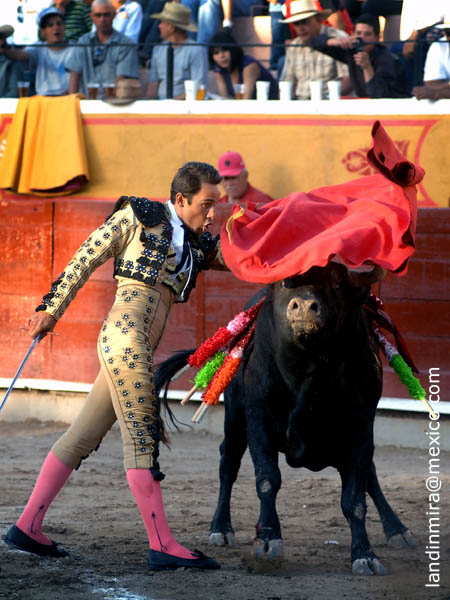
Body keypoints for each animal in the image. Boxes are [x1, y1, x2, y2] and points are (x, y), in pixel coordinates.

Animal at [155, 262, 415, 575]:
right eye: (283, 284)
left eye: (337, 285)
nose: (303, 306)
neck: (309, 370)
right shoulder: (259, 419)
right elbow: (268, 479)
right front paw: (267, 543)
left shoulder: (361, 427)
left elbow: (355, 497)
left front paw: (365, 554)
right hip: (235, 416)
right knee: (228, 461)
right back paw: (221, 528)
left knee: (371, 476)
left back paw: (397, 529)